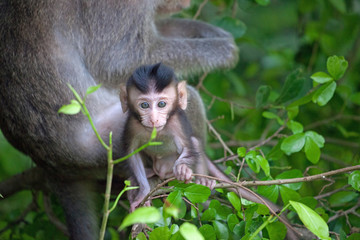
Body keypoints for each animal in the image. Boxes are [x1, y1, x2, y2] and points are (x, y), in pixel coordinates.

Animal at [119, 62, 214, 210]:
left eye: (161, 104)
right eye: (144, 105)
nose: (153, 119)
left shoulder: (177, 123)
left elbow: (188, 147)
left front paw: (182, 169)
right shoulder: (132, 125)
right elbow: (132, 152)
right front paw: (143, 193)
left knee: (195, 143)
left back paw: (204, 181)